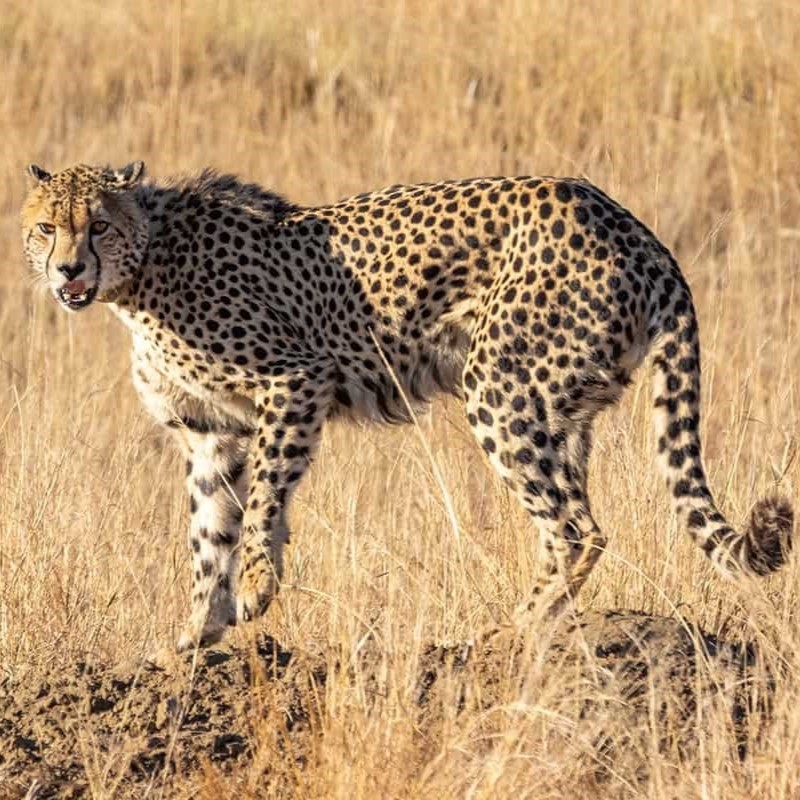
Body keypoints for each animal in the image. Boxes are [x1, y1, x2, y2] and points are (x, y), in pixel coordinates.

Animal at [21, 161, 793, 651]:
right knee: (570, 522)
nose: (69, 269)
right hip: (562, 407)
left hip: (498, 386)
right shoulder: (212, 433)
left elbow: (265, 499)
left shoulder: (294, 381)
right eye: (46, 228)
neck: (143, 270)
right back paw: (539, 623)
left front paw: (257, 586)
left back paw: (512, 630)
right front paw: (193, 636)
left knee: (578, 528)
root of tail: (630, 224)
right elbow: (208, 534)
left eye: (97, 226)